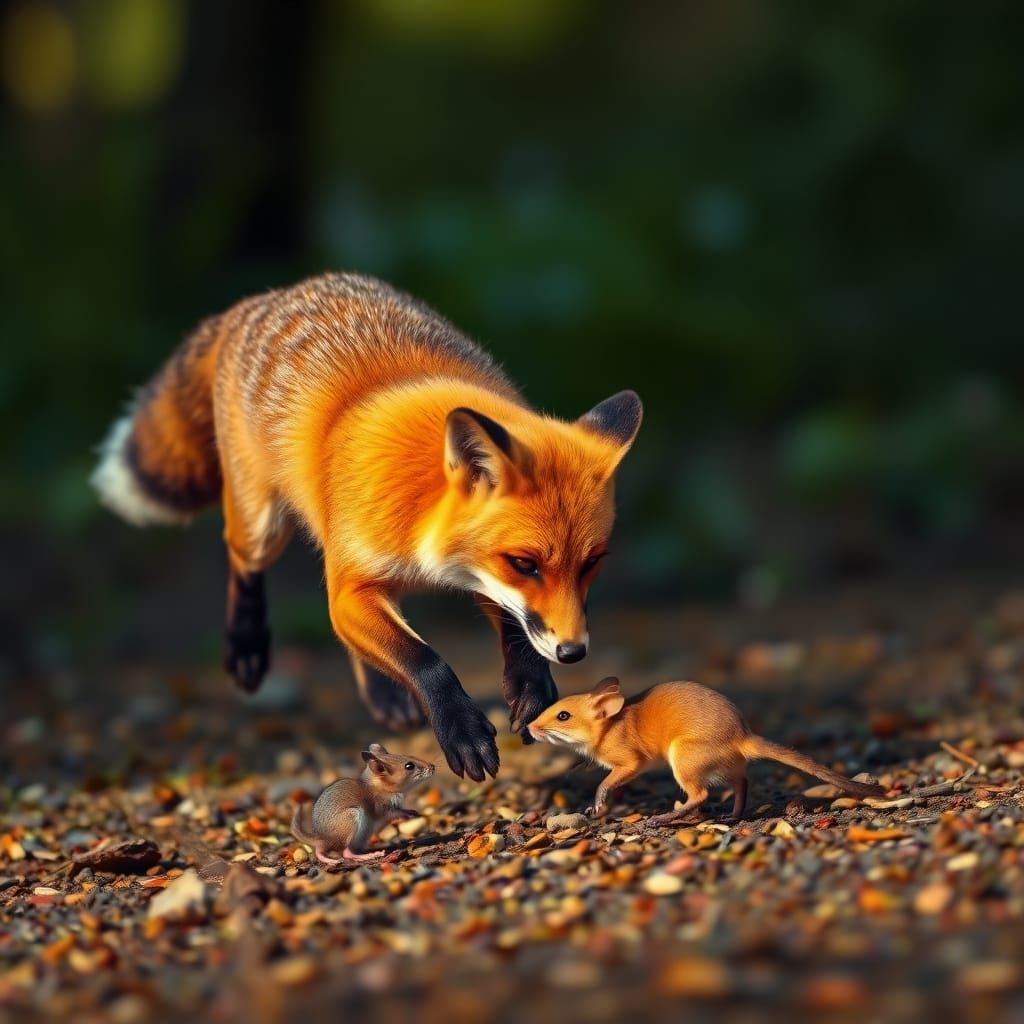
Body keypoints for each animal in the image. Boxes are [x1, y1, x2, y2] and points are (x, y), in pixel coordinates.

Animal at [91, 273, 641, 782]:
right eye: (525, 563)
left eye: (591, 564)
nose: (574, 653)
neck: (422, 526)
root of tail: (264, 298)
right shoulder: (357, 586)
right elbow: (425, 659)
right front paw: (461, 729)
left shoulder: (476, 577)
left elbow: (510, 628)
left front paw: (531, 688)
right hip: (264, 526)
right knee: (243, 561)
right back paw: (246, 647)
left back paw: (385, 693)